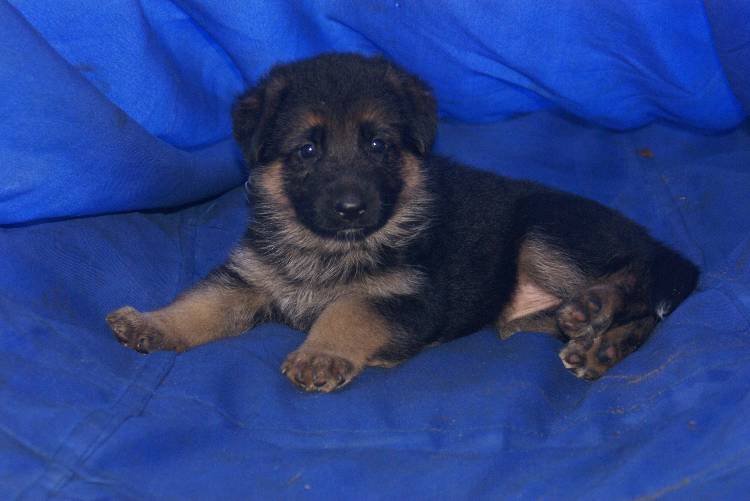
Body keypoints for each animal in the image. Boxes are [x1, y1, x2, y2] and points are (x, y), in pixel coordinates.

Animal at [108, 53, 704, 390]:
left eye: (378, 145)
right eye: (306, 151)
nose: (351, 207)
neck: (329, 248)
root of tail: (658, 243)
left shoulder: (406, 298)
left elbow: (347, 311)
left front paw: (322, 352)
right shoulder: (248, 280)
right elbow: (200, 304)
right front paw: (153, 324)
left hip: (545, 233)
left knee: (640, 284)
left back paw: (598, 313)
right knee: (642, 315)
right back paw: (597, 345)